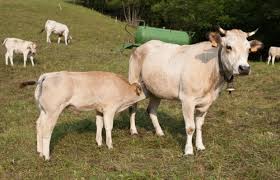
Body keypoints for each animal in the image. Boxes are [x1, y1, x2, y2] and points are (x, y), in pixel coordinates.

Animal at [128, 27, 264, 155]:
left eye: (248, 49)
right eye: (228, 47)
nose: (244, 68)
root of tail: (144, 45)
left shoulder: (207, 102)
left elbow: (199, 126)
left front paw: (200, 146)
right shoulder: (187, 100)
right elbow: (190, 127)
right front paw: (188, 150)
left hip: (156, 90)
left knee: (151, 110)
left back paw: (159, 132)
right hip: (134, 82)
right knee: (132, 107)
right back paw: (133, 131)